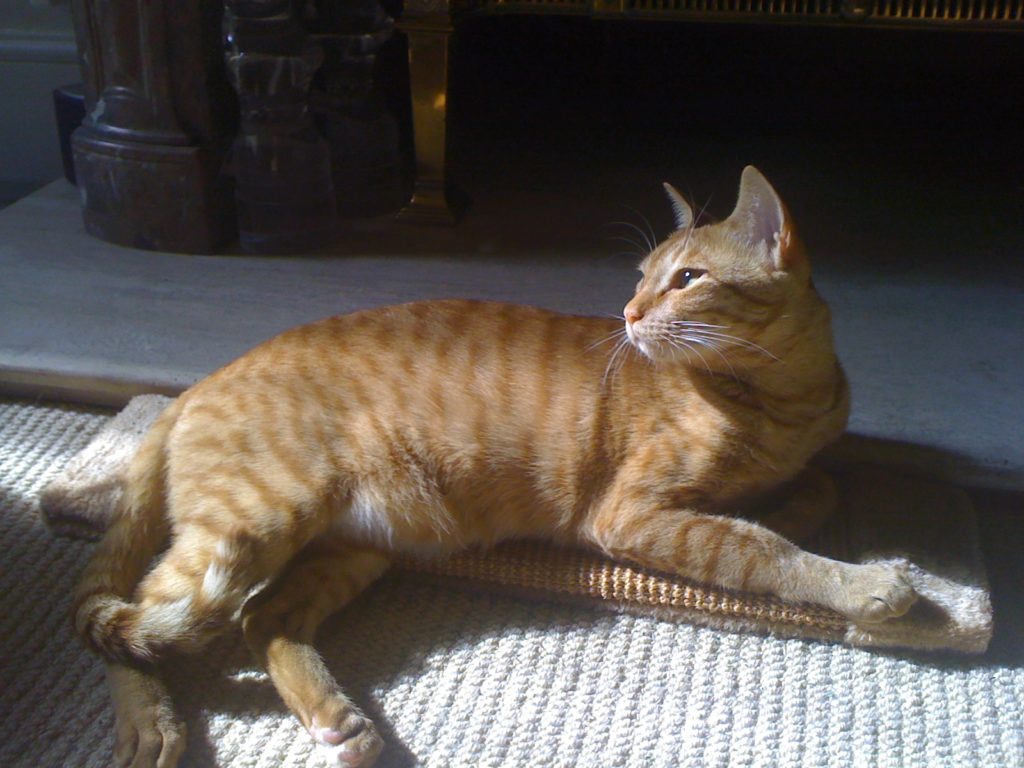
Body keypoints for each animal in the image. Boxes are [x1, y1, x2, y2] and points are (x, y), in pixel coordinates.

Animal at [75, 167, 917, 768]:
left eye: (687, 279)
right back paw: (149, 721)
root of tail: (200, 382)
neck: (783, 400)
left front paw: (784, 502)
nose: (629, 313)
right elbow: (764, 551)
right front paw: (864, 583)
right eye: (643, 275)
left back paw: (336, 720)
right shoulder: (631, 513)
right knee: (126, 617)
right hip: (253, 520)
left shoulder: (780, 469)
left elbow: (814, 487)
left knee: (260, 617)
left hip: (356, 546)